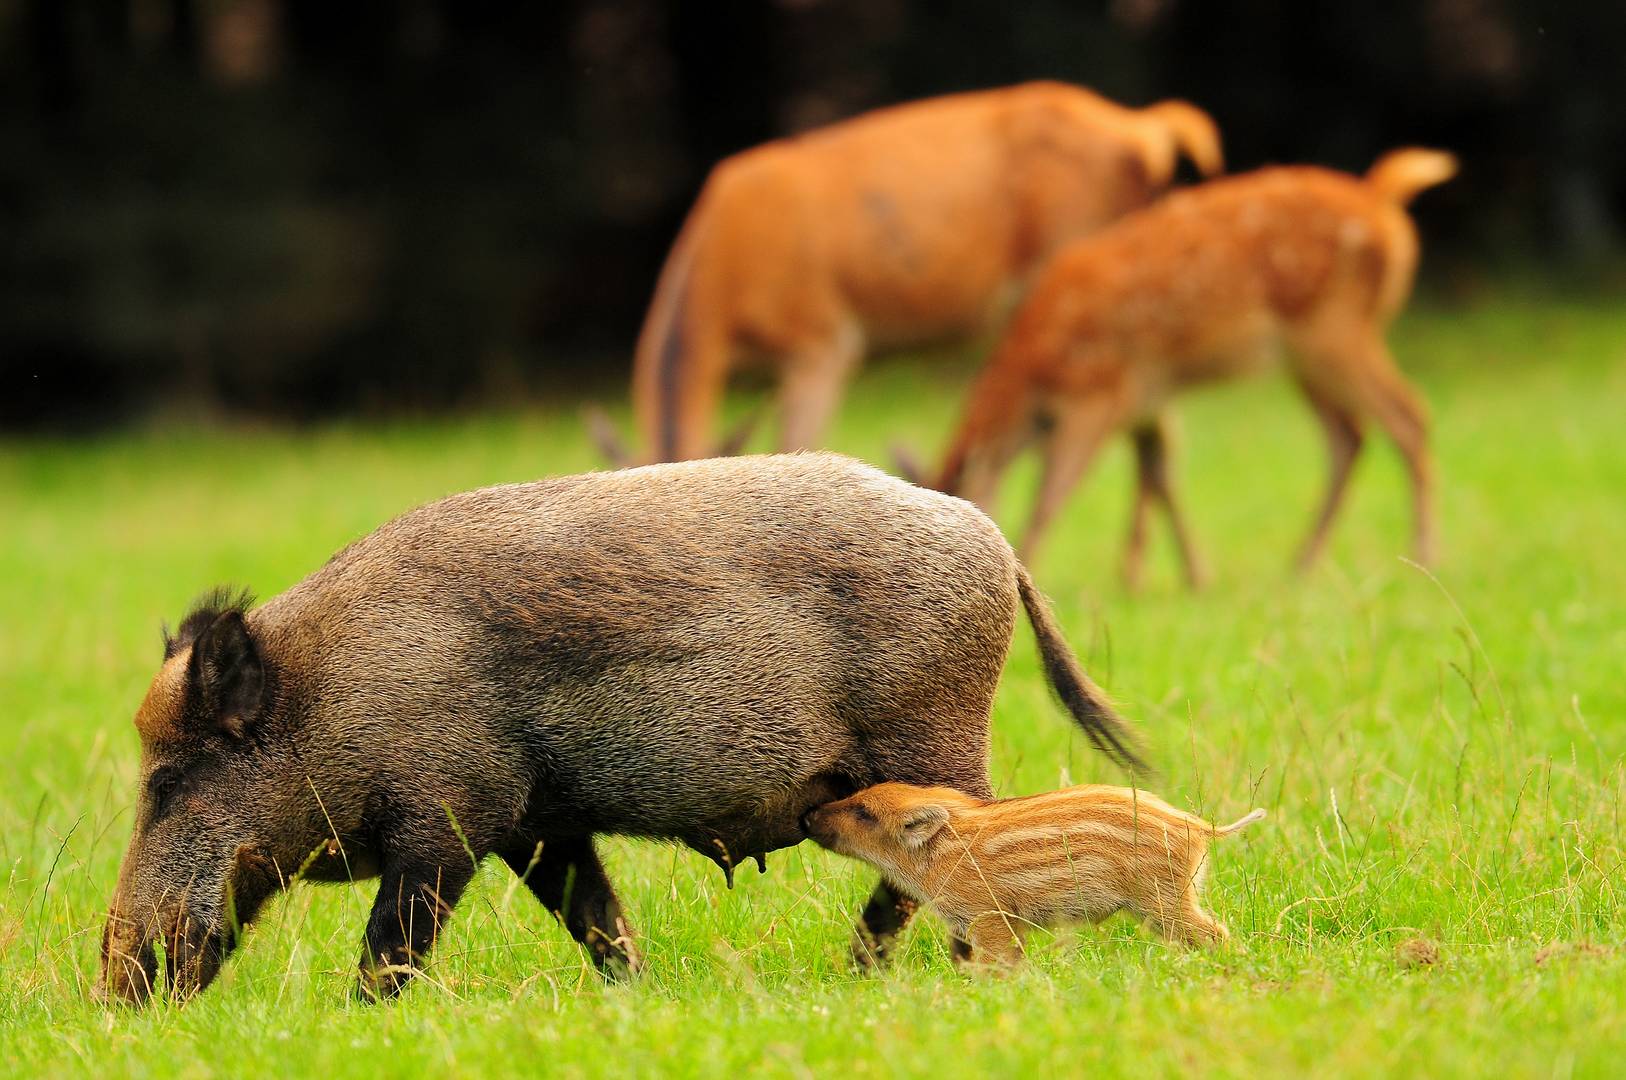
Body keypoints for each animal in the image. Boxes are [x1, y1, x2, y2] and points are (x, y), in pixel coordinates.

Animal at [904, 146, 1463, 582]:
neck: (1034, 364)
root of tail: (1382, 200)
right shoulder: (1145, 395)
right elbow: (1160, 475)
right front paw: (1170, 577)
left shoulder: (1099, 391)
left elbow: (1050, 496)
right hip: (1308, 352)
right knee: (1350, 435)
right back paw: (1302, 563)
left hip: (1332, 327)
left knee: (1408, 417)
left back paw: (1424, 556)